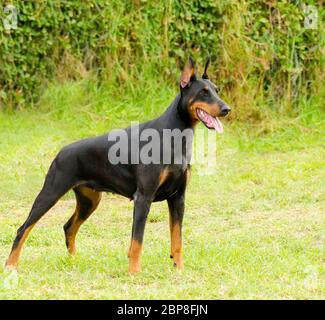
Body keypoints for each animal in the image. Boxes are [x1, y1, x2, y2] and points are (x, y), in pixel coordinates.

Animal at [4, 57, 228, 272]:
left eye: (217, 90)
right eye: (203, 92)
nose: (227, 109)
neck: (174, 136)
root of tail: (61, 152)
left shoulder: (178, 198)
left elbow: (177, 240)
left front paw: (179, 269)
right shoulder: (143, 198)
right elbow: (137, 242)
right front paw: (134, 272)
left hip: (90, 200)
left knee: (68, 227)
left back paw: (74, 261)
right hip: (51, 192)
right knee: (23, 228)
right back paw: (10, 265)